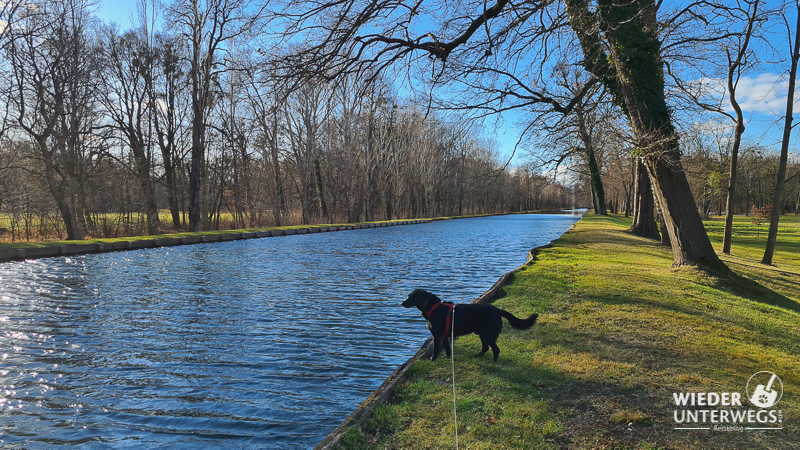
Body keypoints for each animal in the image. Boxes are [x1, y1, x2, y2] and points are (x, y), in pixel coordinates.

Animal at [404, 288, 540, 362]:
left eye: (410, 297)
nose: (401, 303)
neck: (434, 308)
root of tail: (496, 310)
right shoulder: (445, 336)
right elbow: (447, 350)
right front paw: (447, 359)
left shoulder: (437, 336)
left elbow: (435, 351)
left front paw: (432, 361)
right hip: (482, 334)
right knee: (486, 348)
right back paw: (477, 356)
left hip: (488, 334)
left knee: (495, 349)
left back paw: (493, 363)